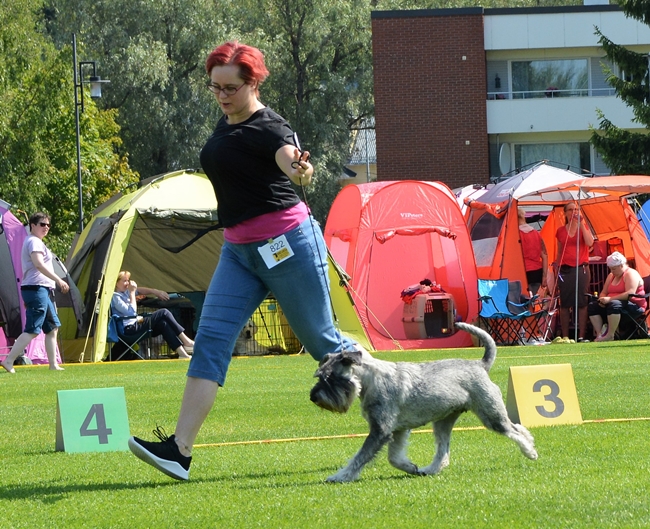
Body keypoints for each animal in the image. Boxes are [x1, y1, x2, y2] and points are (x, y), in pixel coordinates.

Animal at [309, 322, 538, 482]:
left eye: (330, 377)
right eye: (319, 375)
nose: (313, 397)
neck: (370, 379)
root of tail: (481, 365)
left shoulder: (380, 430)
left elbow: (360, 457)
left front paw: (340, 476)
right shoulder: (397, 430)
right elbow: (394, 457)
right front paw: (411, 467)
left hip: (491, 415)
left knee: (514, 430)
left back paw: (530, 452)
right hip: (443, 422)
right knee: (444, 451)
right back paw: (430, 469)